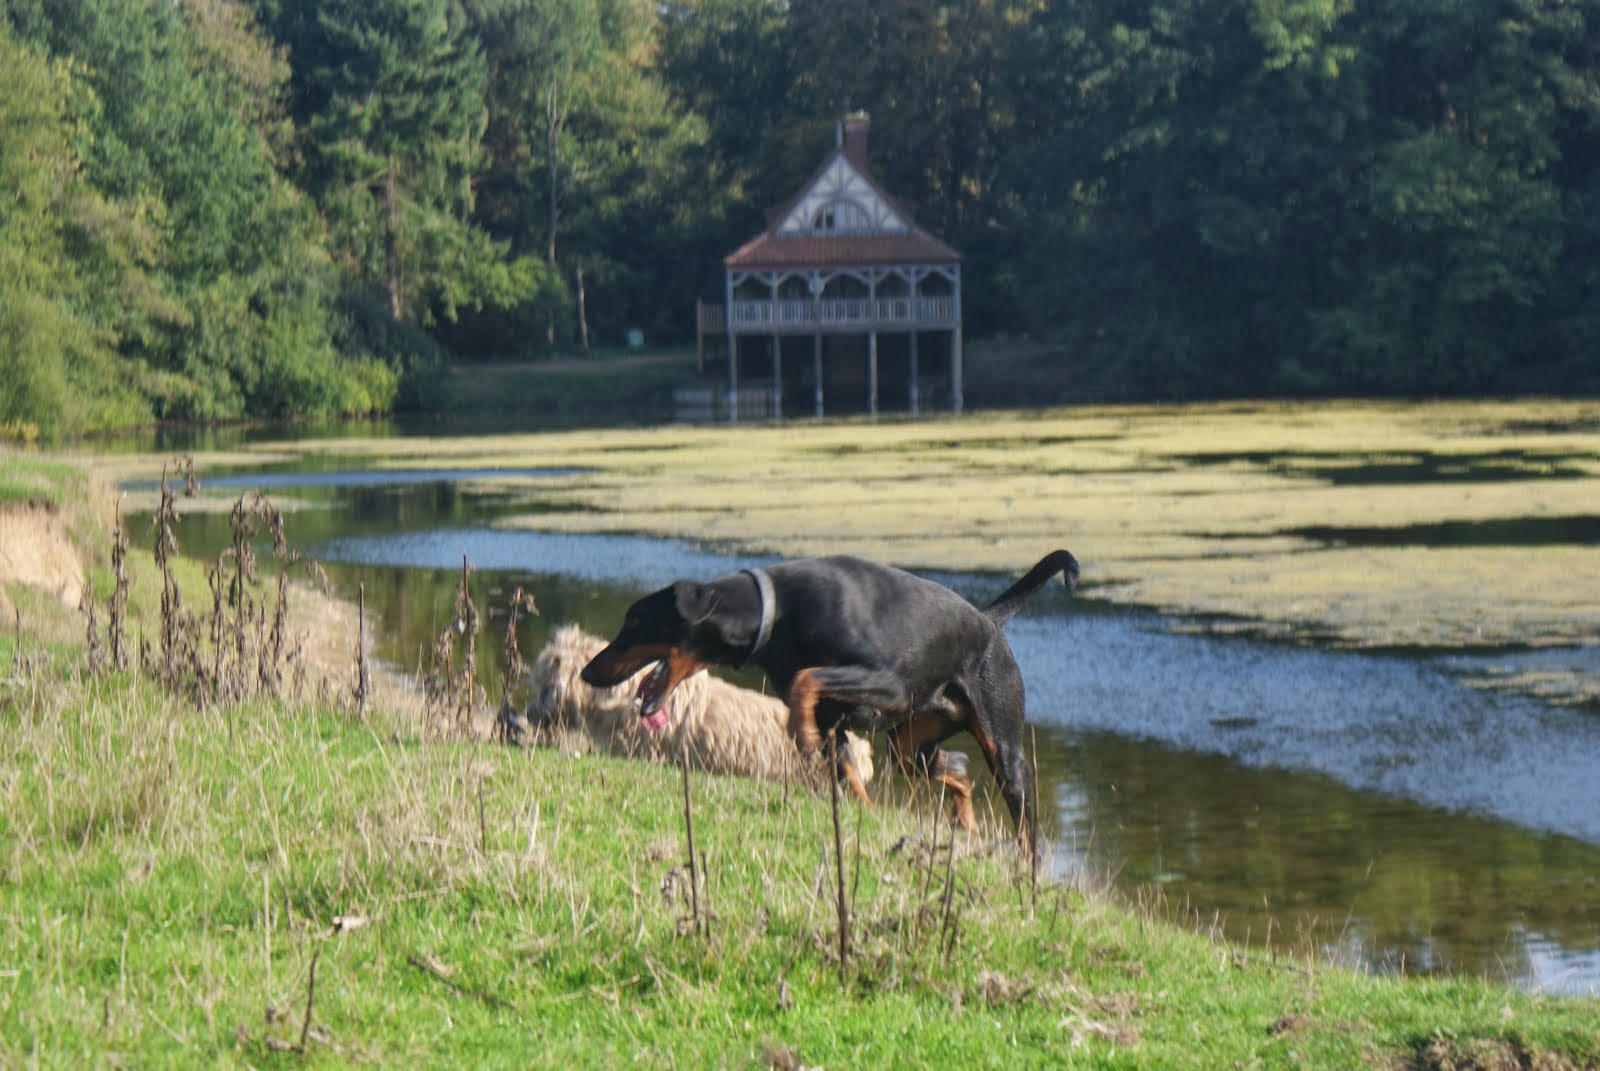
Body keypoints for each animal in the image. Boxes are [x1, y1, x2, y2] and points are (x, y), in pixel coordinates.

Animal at [582, 550, 1081, 851]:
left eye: (634, 623)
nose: (587, 673)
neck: (776, 615)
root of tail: (989, 620)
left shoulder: (889, 685)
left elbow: (807, 681)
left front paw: (799, 733)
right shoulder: (835, 726)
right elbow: (849, 778)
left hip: (1002, 743)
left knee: (1024, 826)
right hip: (908, 746)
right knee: (955, 766)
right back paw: (965, 823)